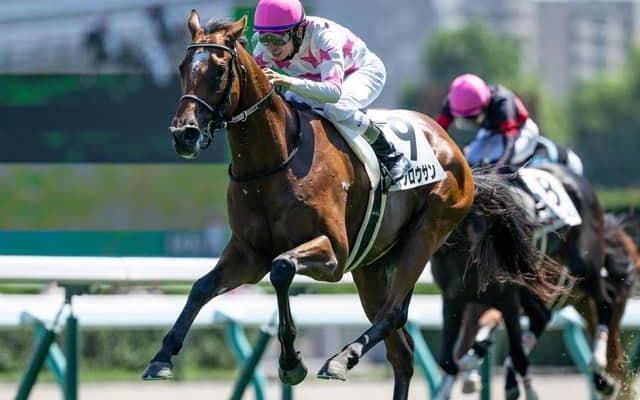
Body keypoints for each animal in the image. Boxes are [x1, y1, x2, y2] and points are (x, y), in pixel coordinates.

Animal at [140, 11, 556, 399]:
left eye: (218, 70)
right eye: (182, 68)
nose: (184, 134)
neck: (275, 161)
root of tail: (455, 151)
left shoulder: (334, 254)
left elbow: (282, 269)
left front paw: (292, 362)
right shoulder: (248, 253)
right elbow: (201, 287)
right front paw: (161, 358)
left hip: (427, 231)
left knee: (392, 313)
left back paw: (342, 358)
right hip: (371, 265)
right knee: (401, 352)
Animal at [431, 163, 627, 399]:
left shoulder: (508, 300)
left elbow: (517, 356)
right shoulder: (454, 299)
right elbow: (447, 361)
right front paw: (470, 362)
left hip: (584, 266)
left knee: (606, 300)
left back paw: (599, 366)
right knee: (542, 315)